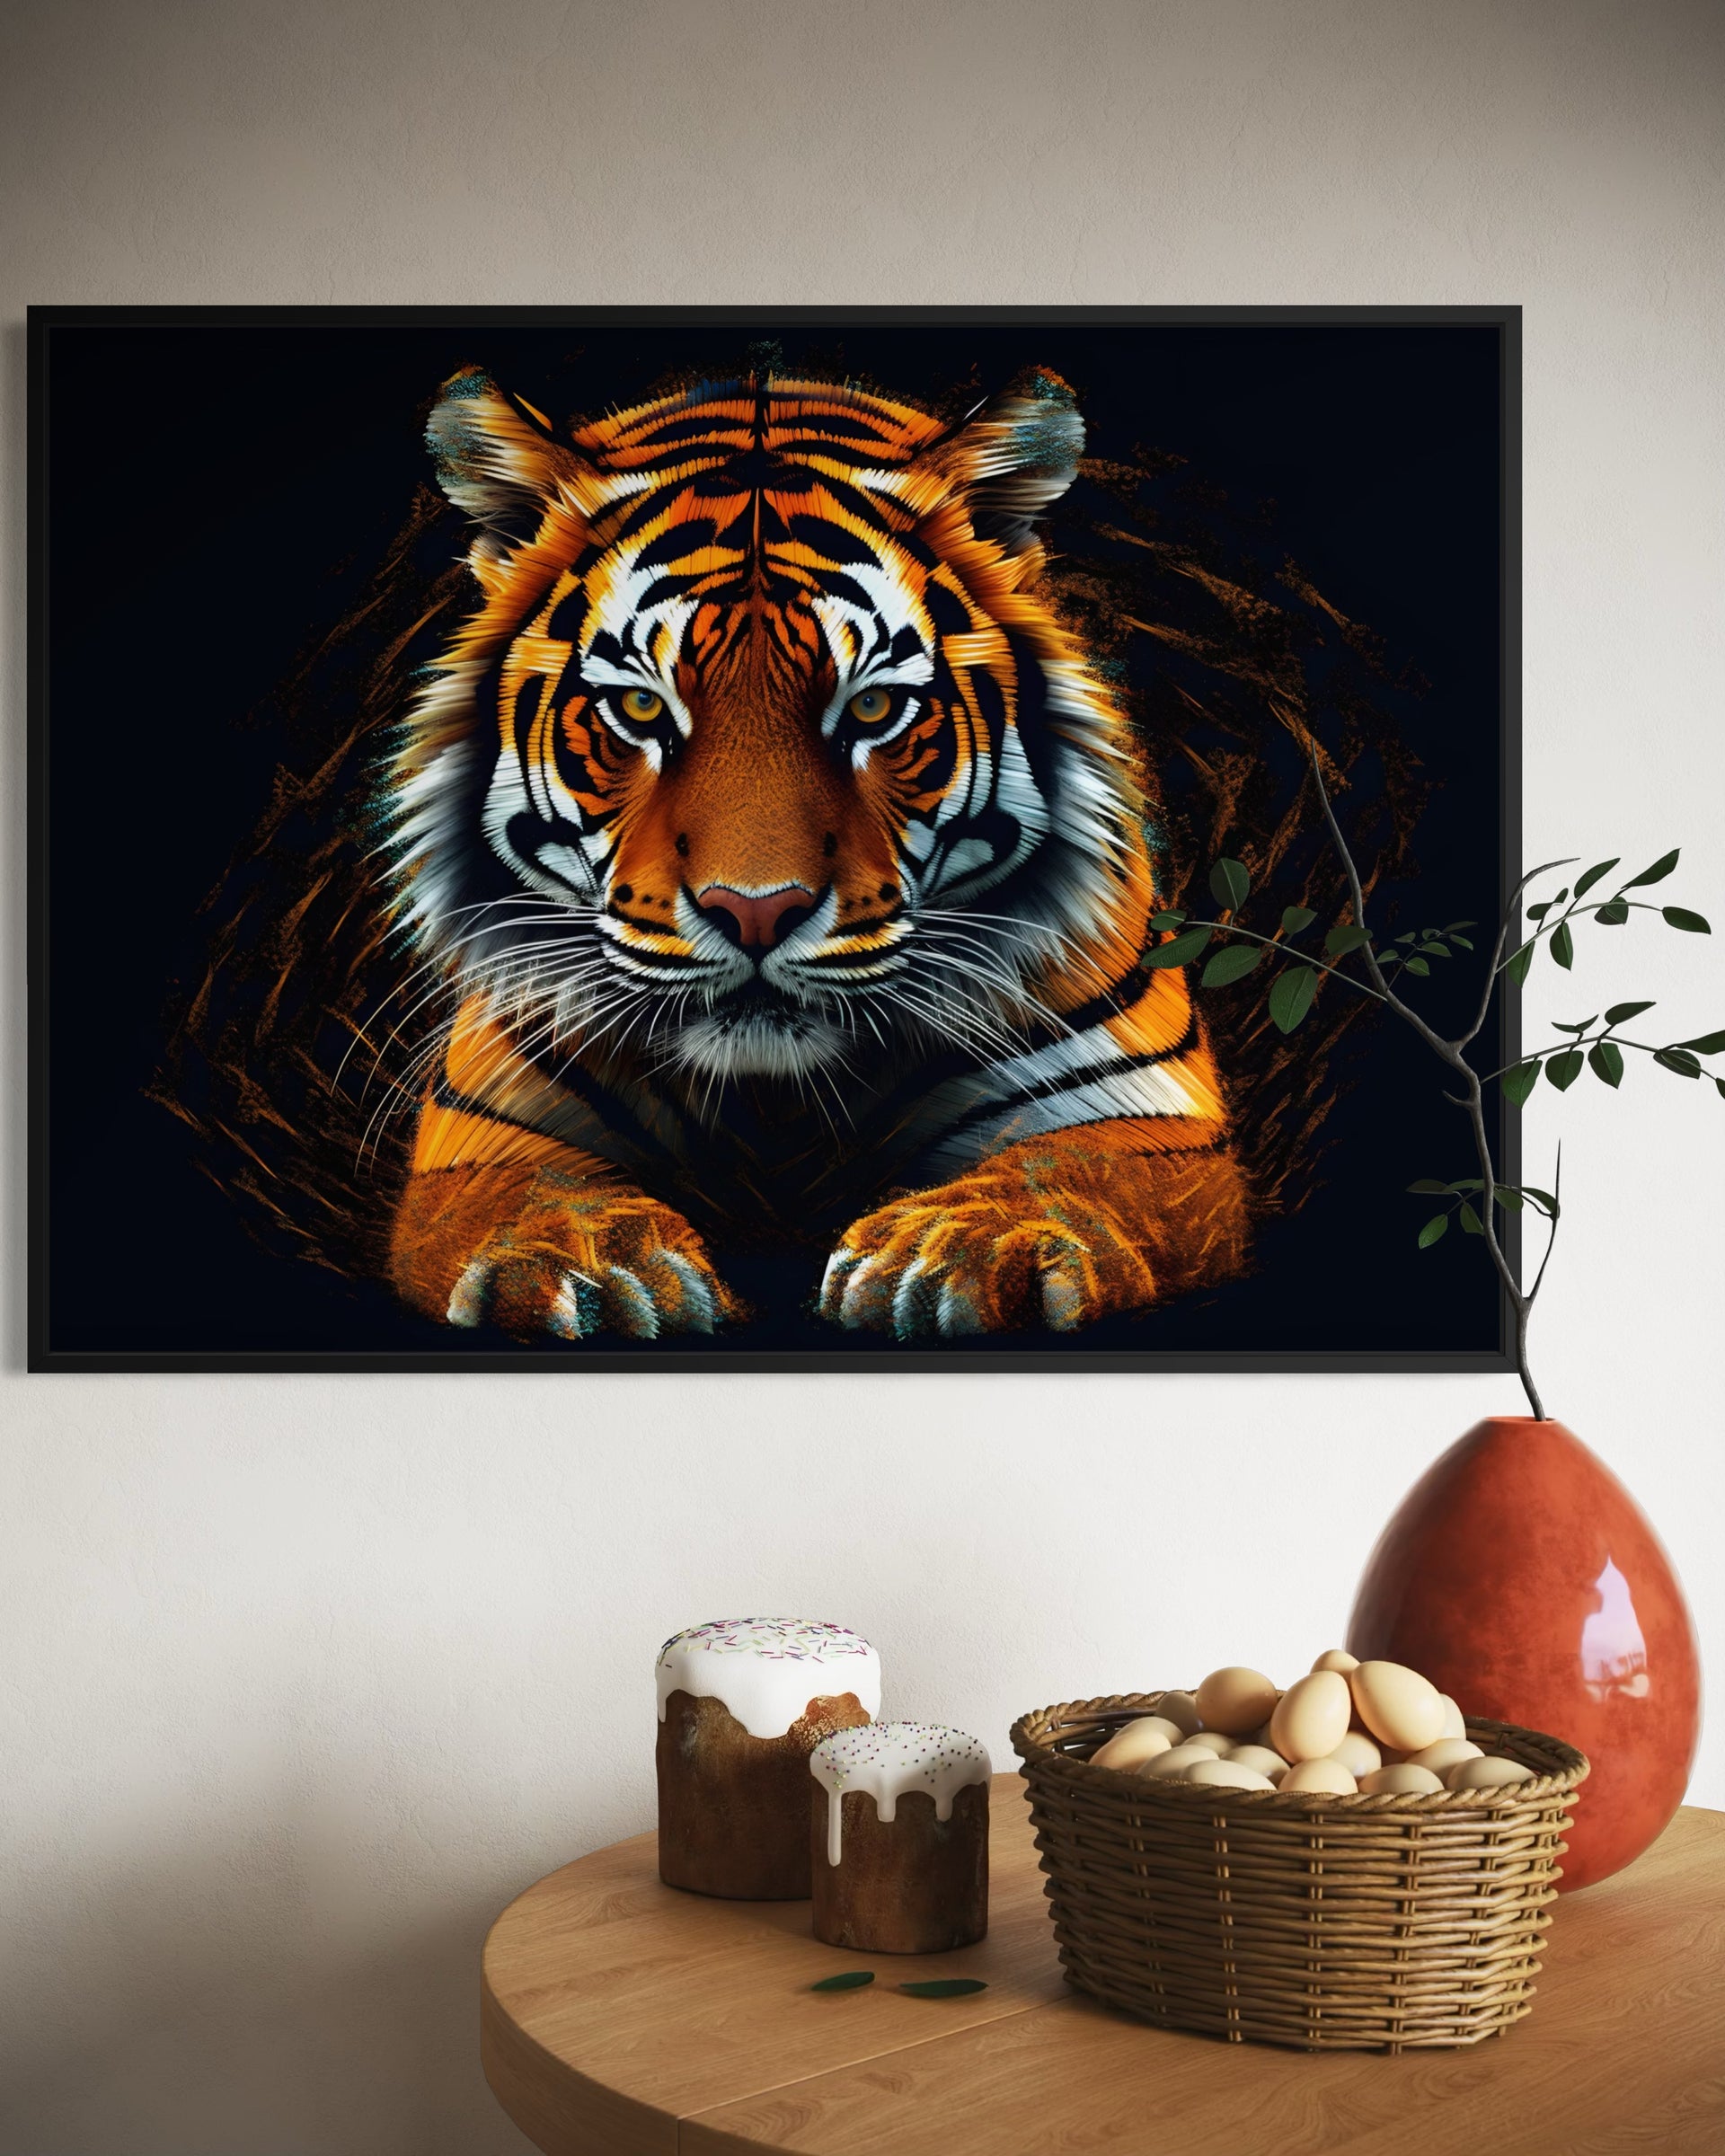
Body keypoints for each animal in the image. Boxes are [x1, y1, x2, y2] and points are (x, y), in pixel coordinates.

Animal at [381, 364, 1251, 1340]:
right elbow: (539, 1187)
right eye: (641, 708)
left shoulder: (1154, 1119)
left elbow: (1056, 1168)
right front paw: (582, 1269)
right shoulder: (482, 1134)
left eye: (871, 709)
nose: (756, 910)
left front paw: (953, 1251)